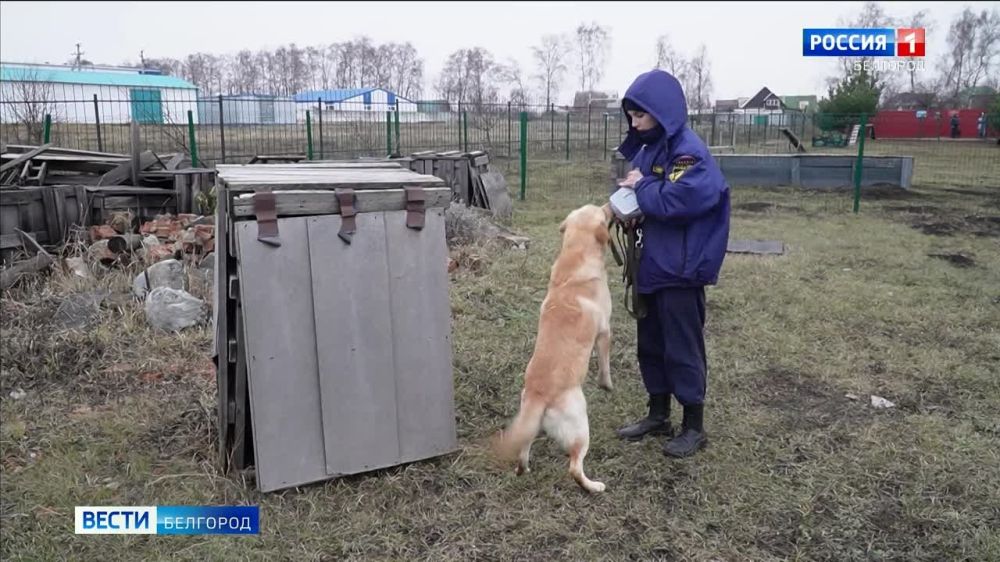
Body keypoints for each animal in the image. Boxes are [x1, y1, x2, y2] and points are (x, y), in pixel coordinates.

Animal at [494, 201, 612, 490]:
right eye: (601, 211)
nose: (609, 204)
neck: (575, 255)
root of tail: (538, 396)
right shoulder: (605, 331)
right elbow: (605, 363)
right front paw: (606, 384)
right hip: (580, 427)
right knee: (574, 468)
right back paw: (594, 487)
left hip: (530, 427)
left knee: (523, 452)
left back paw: (523, 470)